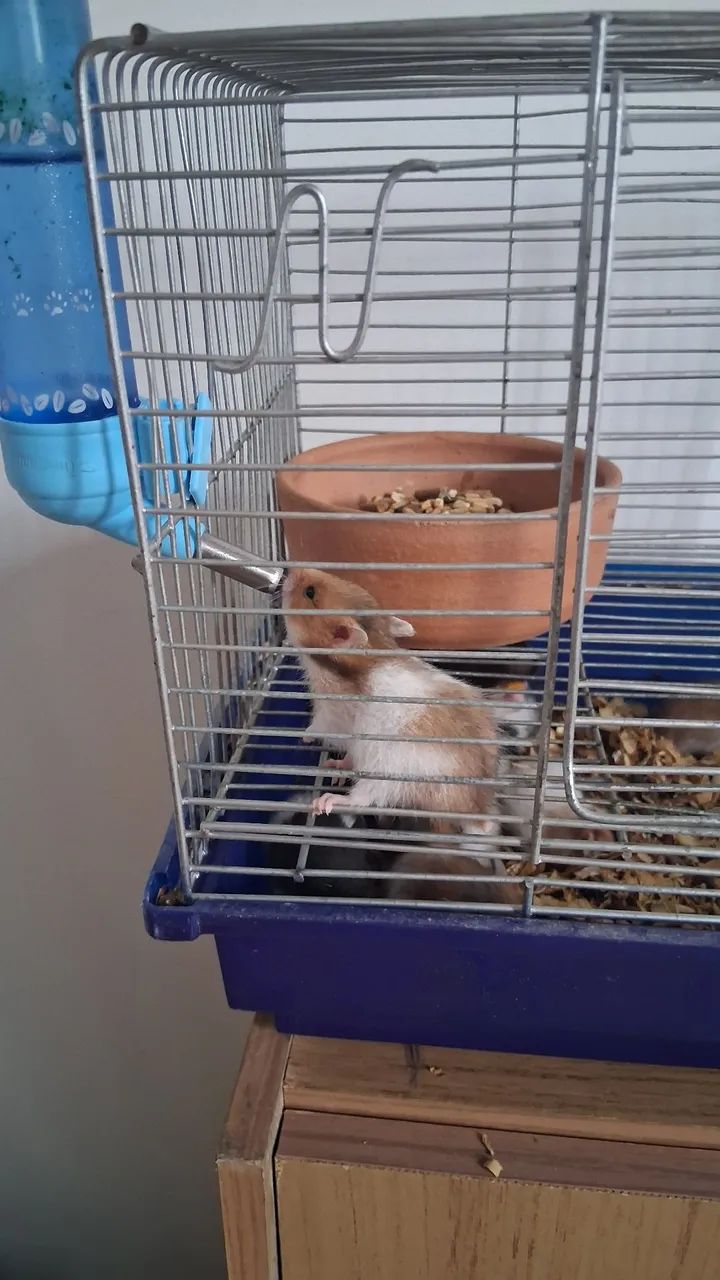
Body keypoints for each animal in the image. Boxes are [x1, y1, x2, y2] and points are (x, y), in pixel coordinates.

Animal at [281, 567, 504, 895]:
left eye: (310, 593)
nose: (289, 570)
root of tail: (471, 809)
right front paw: (335, 762)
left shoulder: (331, 715)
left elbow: (317, 728)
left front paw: (304, 737)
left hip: (388, 774)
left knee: (361, 798)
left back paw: (327, 800)